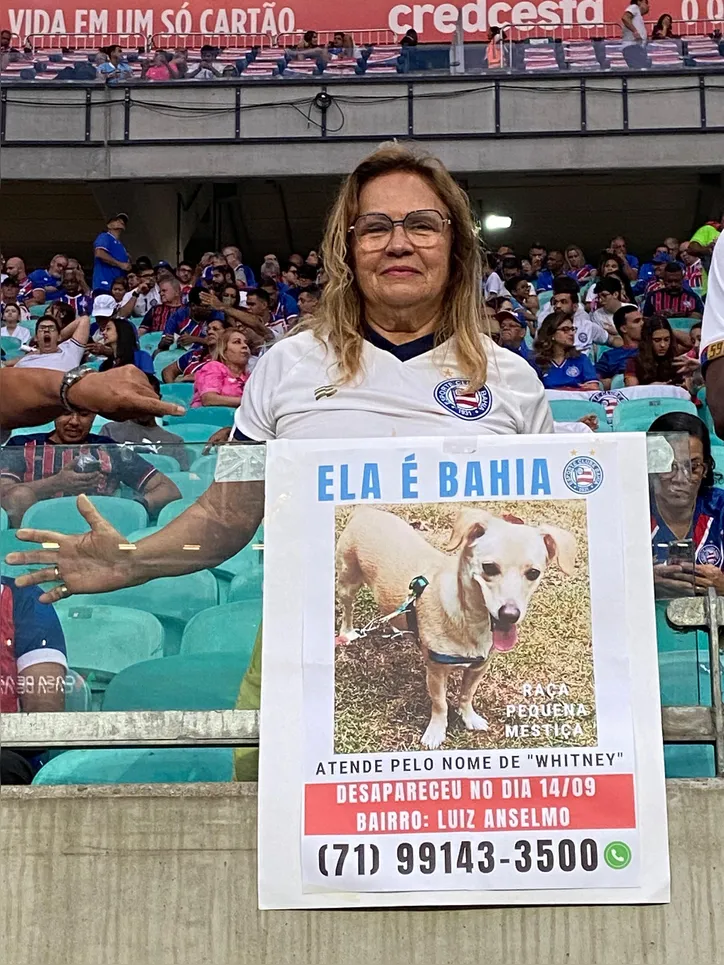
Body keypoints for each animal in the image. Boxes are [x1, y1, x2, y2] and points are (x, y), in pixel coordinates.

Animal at [336, 508, 580, 748]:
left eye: (533, 573)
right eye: (489, 568)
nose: (510, 615)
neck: (470, 619)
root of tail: (363, 510)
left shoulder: (479, 667)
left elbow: (466, 695)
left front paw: (468, 717)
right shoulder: (435, 672)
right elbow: (440, 704)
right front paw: (436, 731)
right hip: (348, 583)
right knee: (348, 608)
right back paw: (347, 633)